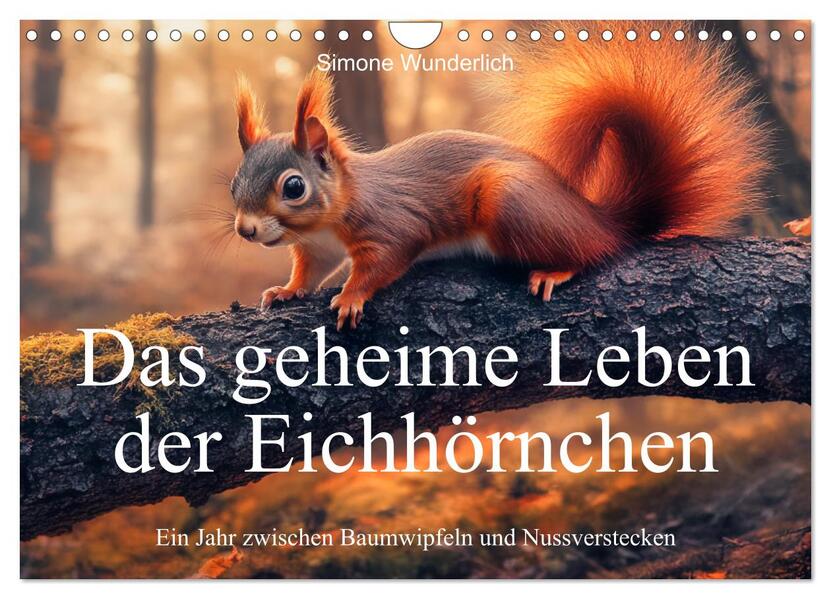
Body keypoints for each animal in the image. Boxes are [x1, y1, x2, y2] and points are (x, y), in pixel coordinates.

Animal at [229, 24, 768, 330]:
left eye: (293, 187)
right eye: (234, 184)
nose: (245, 230)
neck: (330, 217)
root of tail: (599, 219)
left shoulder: (391, 223)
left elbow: (383, 261)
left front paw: (350, 296)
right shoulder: (317, 248)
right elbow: (308, 272)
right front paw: (285, 290)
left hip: (510, 201)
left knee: (591, 252)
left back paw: (557, 270)